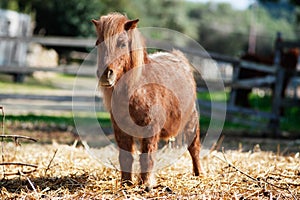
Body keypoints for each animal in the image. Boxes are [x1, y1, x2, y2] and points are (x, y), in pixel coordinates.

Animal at [92, 12, 202, 189]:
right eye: (98, 43)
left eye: (122, 43)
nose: (104, 74)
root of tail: (179, 58)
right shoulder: (121, 131)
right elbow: (126, 157)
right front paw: (126, 183)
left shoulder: (150, 130)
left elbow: (147, 157)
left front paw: (146, 184)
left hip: (191, 121)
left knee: (194, 148)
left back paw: (199, 174)